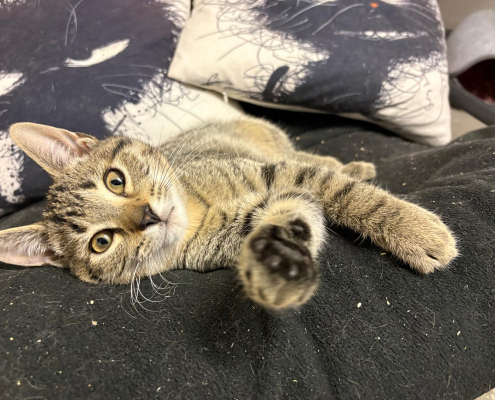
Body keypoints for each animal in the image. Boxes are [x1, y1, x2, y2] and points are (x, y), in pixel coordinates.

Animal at [0, 118, 457, 309]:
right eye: (101, 242)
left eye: (115, 180)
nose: (148, 216)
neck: (197, 208)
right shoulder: (252, 222)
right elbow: (295, 216)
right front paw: (279, 266)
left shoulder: (277, 172)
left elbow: (345, 192)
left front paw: (418, 231)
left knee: (310, 158)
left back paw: (352, 164)